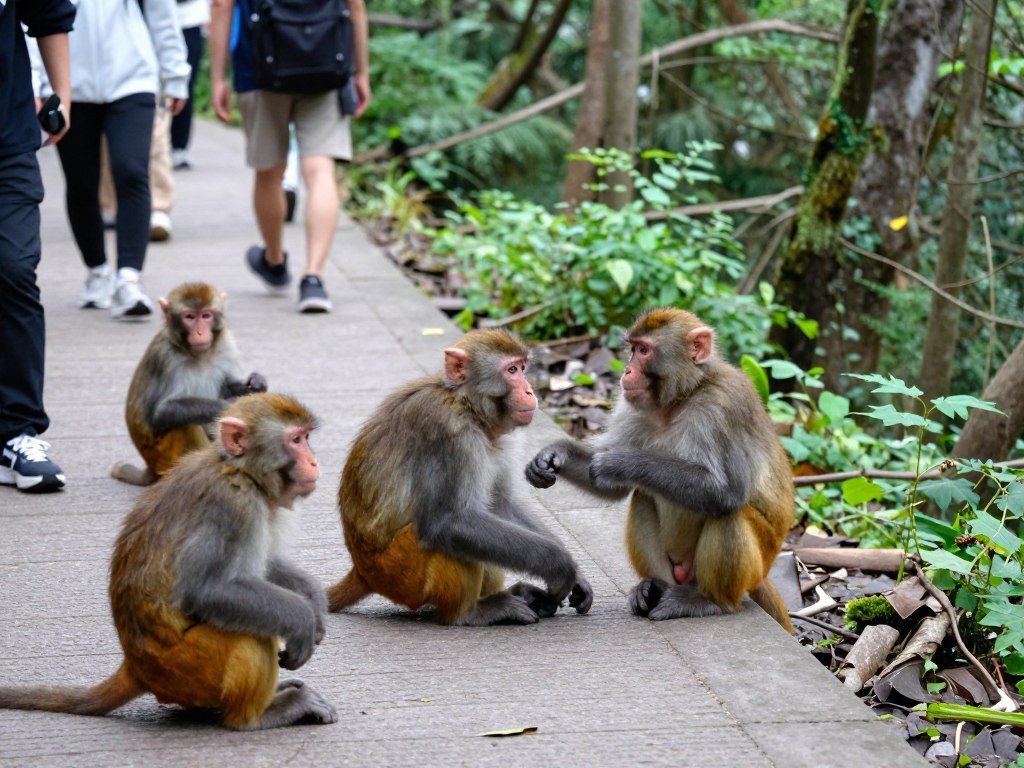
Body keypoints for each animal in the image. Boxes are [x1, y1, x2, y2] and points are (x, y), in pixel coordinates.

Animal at [0, 393, 337, 729]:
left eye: (306, 437)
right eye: (296, 440)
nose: (314, 461)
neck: (240, 471)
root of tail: (136, 667)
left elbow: (264, 566)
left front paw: (314, 600)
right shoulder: (230, 506)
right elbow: (209, 590)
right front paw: (302, 618)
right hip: (189, 668)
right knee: (251, 635)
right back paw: (259, 715)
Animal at [111, 282, 268, 486]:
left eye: (206, 315)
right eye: (190, 317)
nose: (200, 332)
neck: (199, 355)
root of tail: (150, 468)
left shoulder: (226, 343)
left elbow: (227, 385)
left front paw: (257, 383)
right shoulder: (166, 358)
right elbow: (162, 411)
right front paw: (231, 404)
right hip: (162, 456)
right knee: (184, 423)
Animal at [327, 329, 594, 626]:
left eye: (523, 367)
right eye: (511, 370)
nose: (529, 390)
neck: (468, 406)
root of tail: (362, 570)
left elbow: (499, 505)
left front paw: (577, 577)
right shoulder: (448, 433)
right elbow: (450, 521)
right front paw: (559, 564)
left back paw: (515, 594)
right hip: (400, 573)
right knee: (452, 538)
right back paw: (470, 613)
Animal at [526, 308, 794, 632]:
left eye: (644, 351)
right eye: (632, 349)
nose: (626, 372)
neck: (682, 397)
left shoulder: (727, 407)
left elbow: (726, 492)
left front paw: (621, 462)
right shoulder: (632, 406)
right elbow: (615, 488)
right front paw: (556, 454)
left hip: (753, 568)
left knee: (728, 514)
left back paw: (710, 601)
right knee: (643, 495)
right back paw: (654, 588)